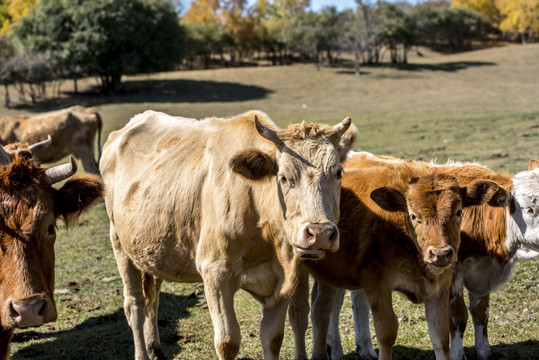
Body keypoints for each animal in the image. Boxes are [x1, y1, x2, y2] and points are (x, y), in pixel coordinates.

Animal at [286, 158, 510, 360]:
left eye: (458, 211)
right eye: (413, 215)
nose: (440, 253)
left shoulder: (441, 286)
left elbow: (440, 335)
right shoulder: (377, 283)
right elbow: (386, 332)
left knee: (321, 308)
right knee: (299, 314)